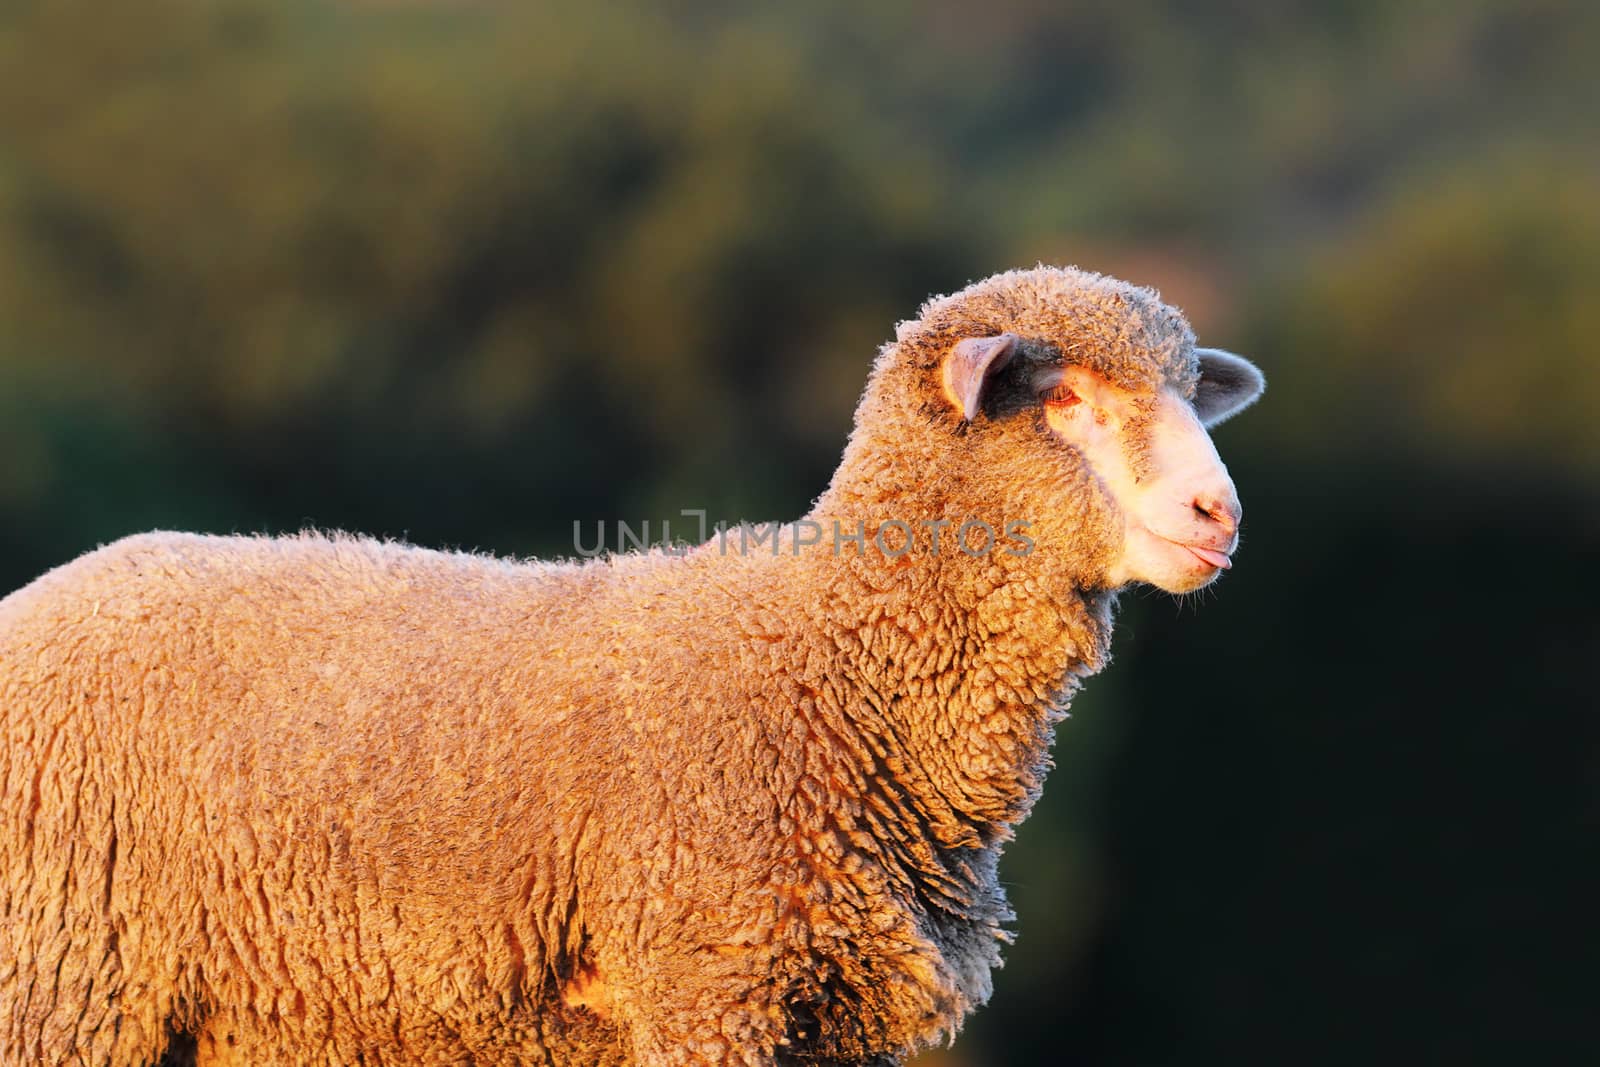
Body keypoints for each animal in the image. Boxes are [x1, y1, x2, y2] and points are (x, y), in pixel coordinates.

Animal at [6, 260, 1267, 1067]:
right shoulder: (709, 979)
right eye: (1064, 399)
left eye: (1185, 395)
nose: (1222, 515)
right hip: (61, 983)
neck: (831, 655)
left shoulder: (829, 1016)